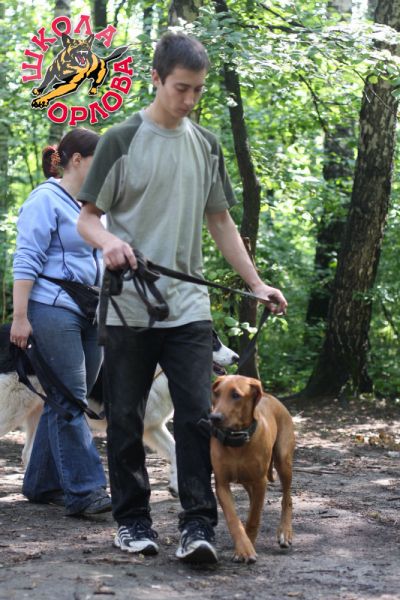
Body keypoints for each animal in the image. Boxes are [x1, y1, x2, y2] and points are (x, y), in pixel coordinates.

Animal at [0, 325, 238, 497]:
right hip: (13, 407)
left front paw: (175, 486)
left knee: (27, 452)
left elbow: (174, 449)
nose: (236, 357)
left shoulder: (152, 426)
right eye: (213, 342)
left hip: (38, 409)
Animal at [209, 375, 295, 563]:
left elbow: (253, 517)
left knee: (287, 497)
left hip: (283, 460)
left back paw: (285, 532)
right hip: (246, 479)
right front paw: (244, 547)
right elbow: (233, 519)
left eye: (236, 395)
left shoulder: (260, 482)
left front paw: (249, 543)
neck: (237, 440)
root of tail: (271, 397)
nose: (214, 417)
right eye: (216, 393)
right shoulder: (222, 484)